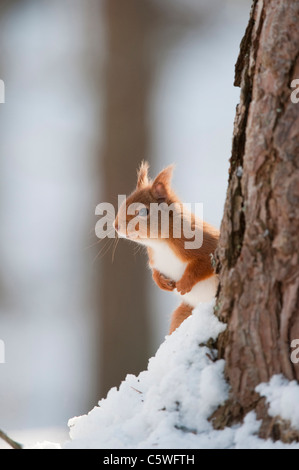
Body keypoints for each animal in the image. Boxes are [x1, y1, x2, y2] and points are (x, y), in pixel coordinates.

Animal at [113, 162, 219, 334]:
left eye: (143, 211)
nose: (116, 226)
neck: (159, 242)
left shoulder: (204, 242)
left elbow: (205, 263)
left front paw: (184, 284)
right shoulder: (154, 258)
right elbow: (154, 271)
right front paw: (161, 282)